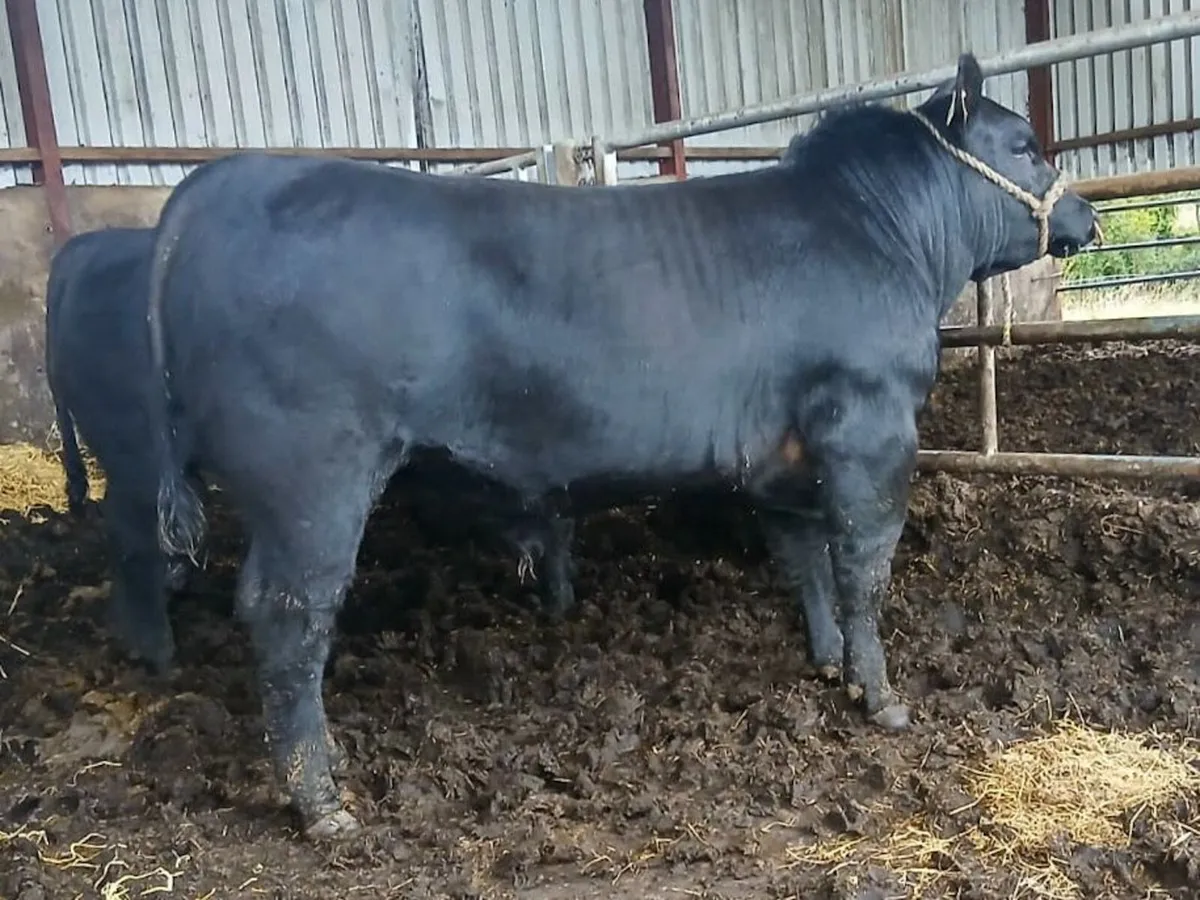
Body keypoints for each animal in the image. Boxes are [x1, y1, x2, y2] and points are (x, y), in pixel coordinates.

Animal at [143, 54, 1098, 840]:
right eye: (1024, 144)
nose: (1087, 216)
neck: (875, 233)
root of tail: (220, 183)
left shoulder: (783, 458)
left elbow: (806, 564)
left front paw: (828, 665)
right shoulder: (871, 425)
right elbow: (863, 567)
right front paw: (885, 699)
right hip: (313, 476)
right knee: (290, 615)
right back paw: (322, 802)